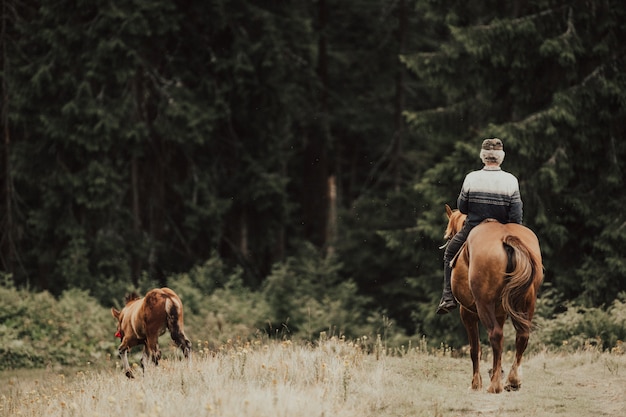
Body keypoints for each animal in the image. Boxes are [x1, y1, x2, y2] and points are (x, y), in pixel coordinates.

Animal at [444, 205, 540, 394]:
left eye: (450, 235)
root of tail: (506, 237)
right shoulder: (500, 314)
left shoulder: (467, 313)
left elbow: (475, 349)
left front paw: (475, 384)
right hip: (527, 304)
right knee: (522, 336)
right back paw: (512, 381)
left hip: (483, 305)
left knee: (495, 335)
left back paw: (494, 386)